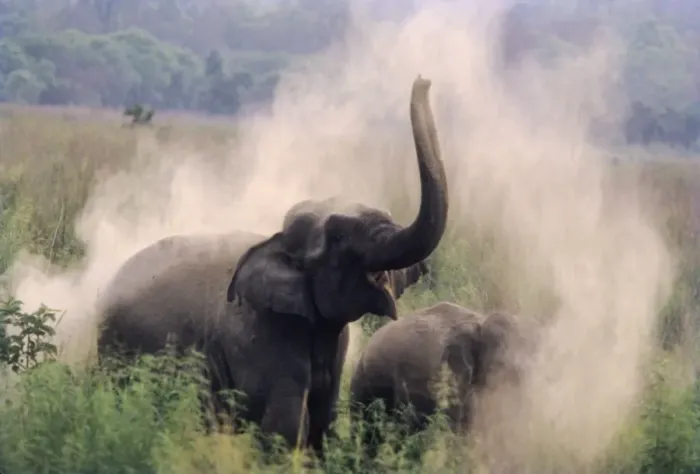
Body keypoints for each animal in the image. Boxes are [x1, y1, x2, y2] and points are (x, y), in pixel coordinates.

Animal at [95, 74, 449, 457]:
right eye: (338, 237)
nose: (423, 79)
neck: (274, 240)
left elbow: (322, 420)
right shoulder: (264, 335)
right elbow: (285, 425)